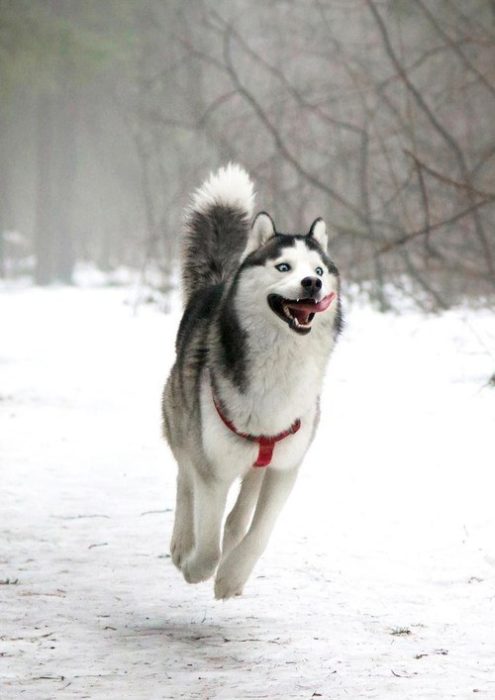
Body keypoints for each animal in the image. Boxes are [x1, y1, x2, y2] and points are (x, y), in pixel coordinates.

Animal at [163, 163, 340, 596]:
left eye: (319, 270)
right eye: (283, 267)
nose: (312, 284)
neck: (280, 361)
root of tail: (216, 285)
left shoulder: (285, 466)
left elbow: (259, 533)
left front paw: (231, 577)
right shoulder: (213, 465)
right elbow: (206, 536)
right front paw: (197, 567)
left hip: (260, 462)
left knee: (239, 514)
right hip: (184, 422)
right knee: (184, 479)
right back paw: (182, 544)